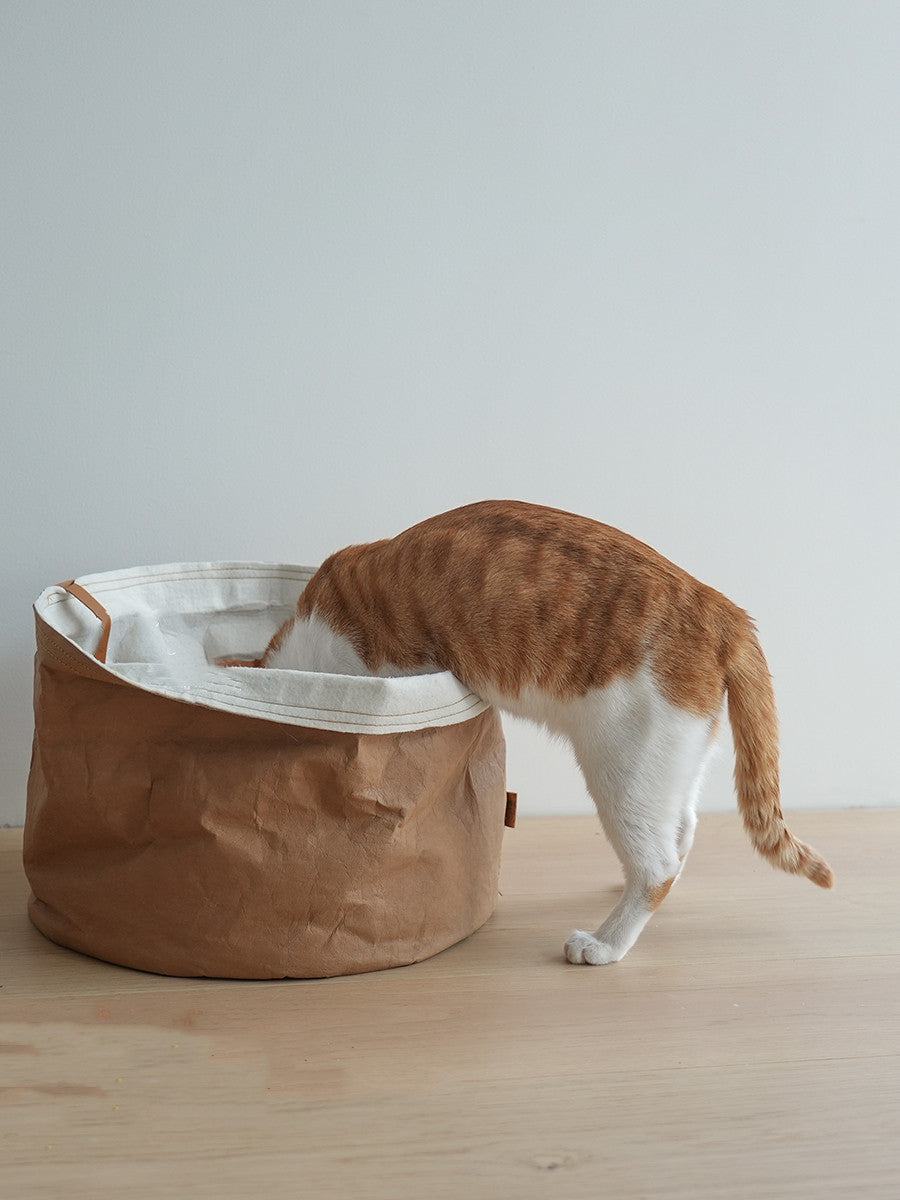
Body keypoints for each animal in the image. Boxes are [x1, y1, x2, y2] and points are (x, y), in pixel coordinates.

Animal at [262, 499, 840, 964]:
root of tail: (727, 613)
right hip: (671, 762)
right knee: (682, 832)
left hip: (624, 769)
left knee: (657, 864)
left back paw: (605, 943)